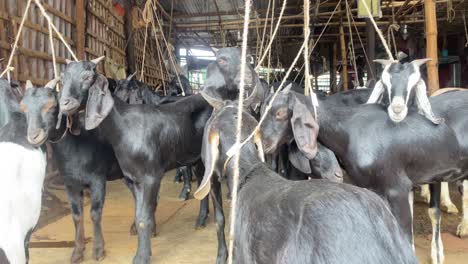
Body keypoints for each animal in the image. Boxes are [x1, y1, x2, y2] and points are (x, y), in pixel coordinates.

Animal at [55, 57, 213, 264]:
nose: (65, 103)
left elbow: (145, 217)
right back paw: (202, 219)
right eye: (62, 77)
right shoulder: (133, 178)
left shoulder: (151, 177)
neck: (124, 126)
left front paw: (142, 257)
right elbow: (139, 217)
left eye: (87, 77)